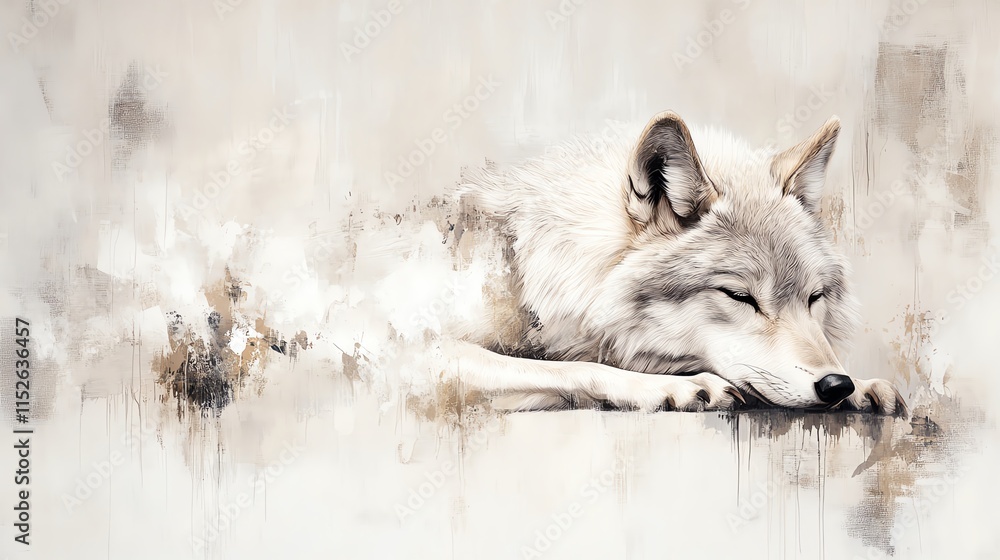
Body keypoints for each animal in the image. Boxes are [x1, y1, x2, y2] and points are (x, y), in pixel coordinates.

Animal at [421, 111, 906, 416]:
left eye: (815, 297)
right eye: (739, 296)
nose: (836, 385)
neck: (525, 266)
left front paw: (863, 386)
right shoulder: (420, 351)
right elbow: (567, 368)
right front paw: (673, 386)